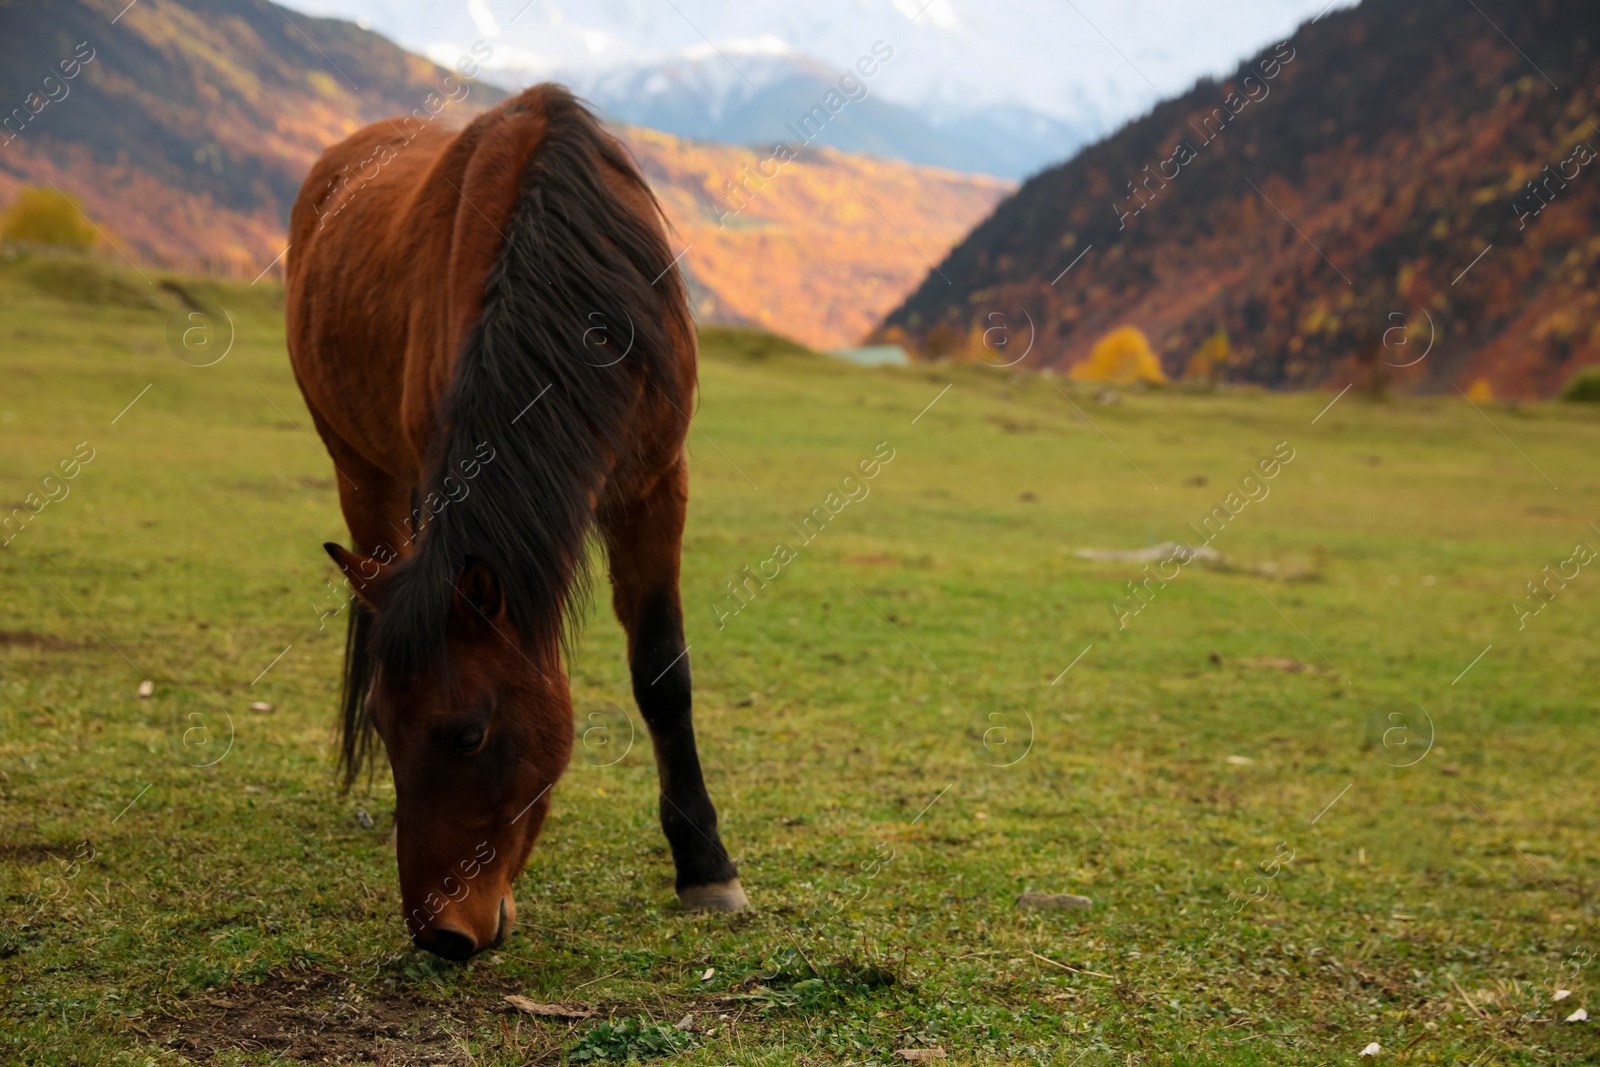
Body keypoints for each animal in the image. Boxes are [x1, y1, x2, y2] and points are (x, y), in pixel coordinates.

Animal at [284, 87, 745, 966]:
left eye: (468, 735)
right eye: (384, 728)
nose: (440, 935)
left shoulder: (655, 483)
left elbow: (662, 673)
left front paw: (706, 868)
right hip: (359, 469)